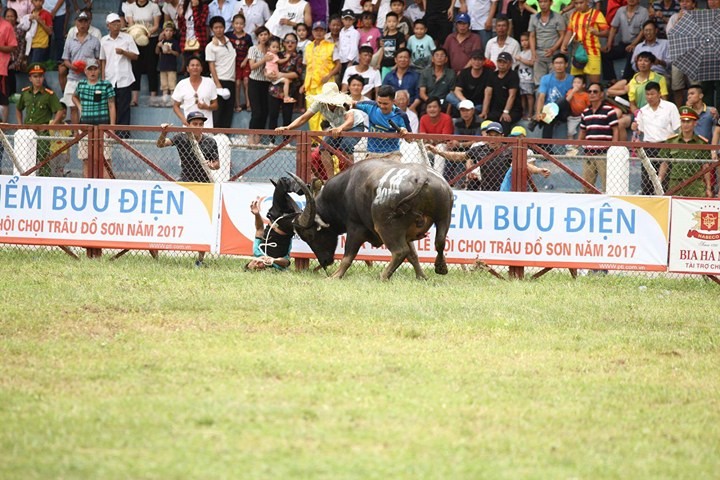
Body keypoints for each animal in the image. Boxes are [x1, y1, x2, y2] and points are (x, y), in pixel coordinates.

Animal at [290, 160, 452, 282]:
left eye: (310, 235)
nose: (324, 262)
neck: (345, 189)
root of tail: (422, 177)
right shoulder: (406, 234)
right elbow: (413, 255)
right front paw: (422, 276)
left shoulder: (355, 228)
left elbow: (348, 256)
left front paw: (335, 276)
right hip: (444, 217)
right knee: (439, 242)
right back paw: (441, 267)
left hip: (385, 226)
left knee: (400, 251)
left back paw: (384, 276)